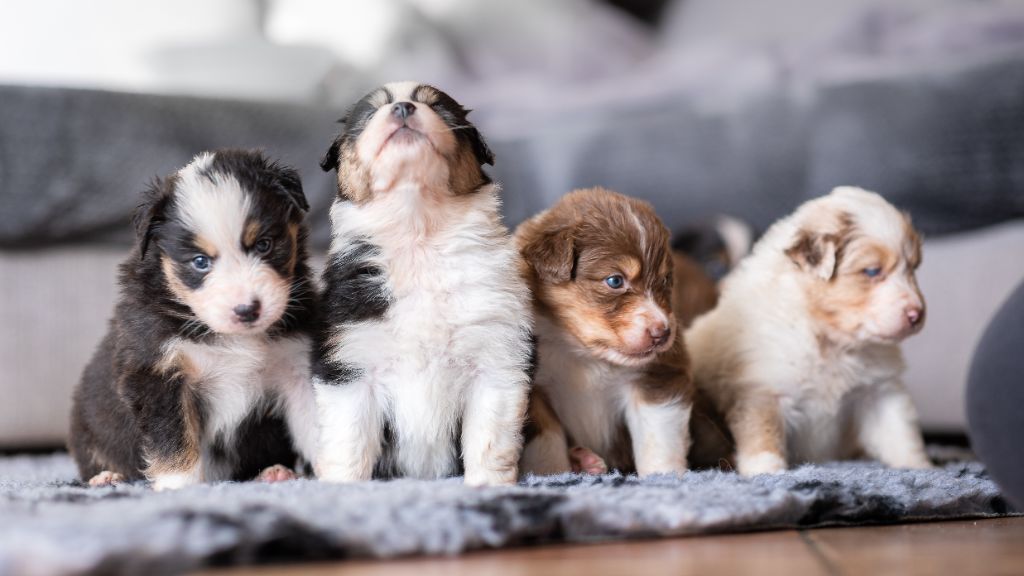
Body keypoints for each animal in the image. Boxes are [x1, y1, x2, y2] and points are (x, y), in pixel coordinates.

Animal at [70, 148, 317, 487]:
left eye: (264, 245)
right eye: (200, 262)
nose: (247, 310)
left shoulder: (296, 365)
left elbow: (319, 423)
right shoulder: (159, 373)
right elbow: (173, 438)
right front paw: (179, 486)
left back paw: (274, 472)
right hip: (87, 423)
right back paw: (106, 478)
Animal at [315, 80, 532, 483]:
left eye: (439, 108)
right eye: (372, 112)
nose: (402, 108)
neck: (418, 233)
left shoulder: (497, 360)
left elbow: (490, 441)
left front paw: (488, 486)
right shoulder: (351, 365)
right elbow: (348, 442)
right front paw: (342, 487)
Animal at [516, 188, 692, 475]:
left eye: (665, 280)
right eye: (615, 281)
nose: (663, 333)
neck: (585, 355)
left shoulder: (658, 377)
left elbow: (658, 439)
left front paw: (665, 476)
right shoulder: (534, 390)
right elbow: (547, 443)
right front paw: (553, 474)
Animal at [684, 186, 933, 473]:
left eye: (913, 268)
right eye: (872, 271)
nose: (917, 314)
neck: (828, 338)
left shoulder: (878, 389)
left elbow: (899, 431)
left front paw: (919, 467)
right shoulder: (762, 389)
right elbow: (763, 434)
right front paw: (768, 471)